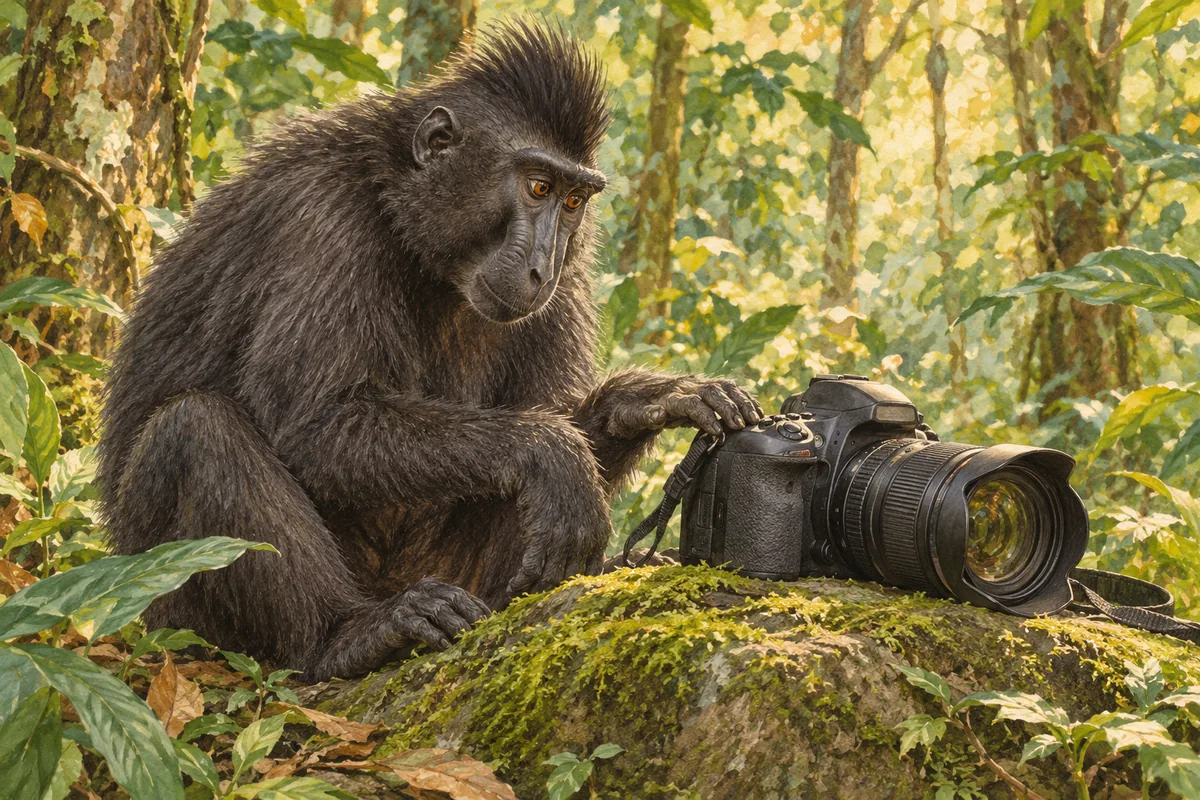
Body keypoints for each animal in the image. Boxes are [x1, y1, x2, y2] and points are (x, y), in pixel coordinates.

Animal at [97, 21, 763, 681]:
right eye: (538, 186)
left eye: (573, 201)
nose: (542, 267)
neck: (405, 219)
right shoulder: (324, 222)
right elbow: (317, 422)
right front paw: (551, 453)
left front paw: (650, 400)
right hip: (168, 613)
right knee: (194, 426)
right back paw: (348, 633)